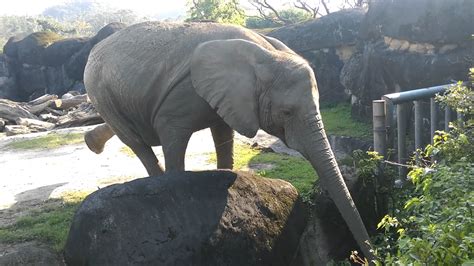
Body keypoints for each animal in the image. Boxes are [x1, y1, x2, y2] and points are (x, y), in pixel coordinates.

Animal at [84, 21, 374, 260]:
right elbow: (171, 130)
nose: (368, 258)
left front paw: (223, 175)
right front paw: (175, 185)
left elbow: (223, 131)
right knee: (136, 140)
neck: (264, 54)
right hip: (100, 92)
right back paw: (152, 177)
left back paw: (91, 143)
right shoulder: (184, 94)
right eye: (287, 113)